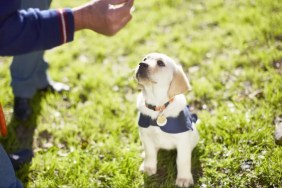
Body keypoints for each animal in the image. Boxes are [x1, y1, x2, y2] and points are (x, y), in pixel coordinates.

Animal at [135, 52, 199, 187]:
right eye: (145, 59)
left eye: (160, 63)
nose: (141, 64)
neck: (158, 106)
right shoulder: (145, 135)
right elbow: (150, 152)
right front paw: (149, 168)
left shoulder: (182, 141)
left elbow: (182, 160)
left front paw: (184, 179)